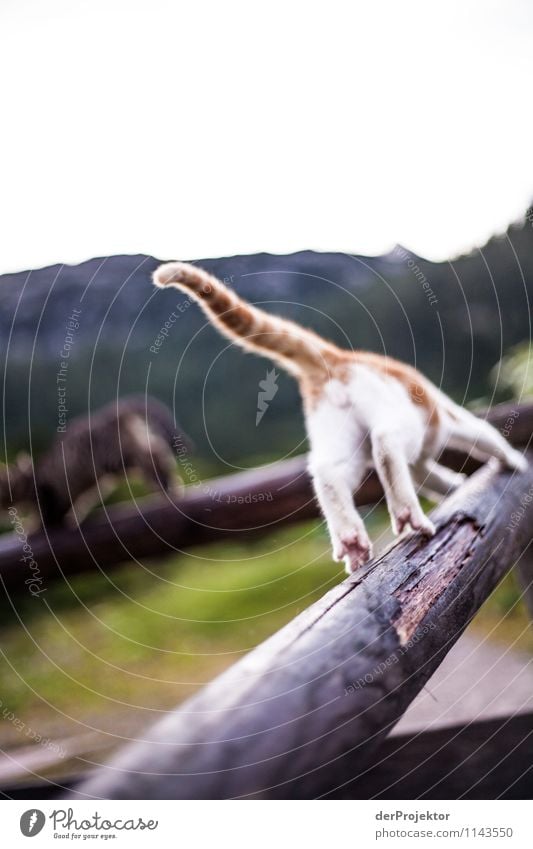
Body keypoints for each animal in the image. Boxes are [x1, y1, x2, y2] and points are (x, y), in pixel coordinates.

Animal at [0, 396, 187, 528]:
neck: (25, 481)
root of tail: (114, 411)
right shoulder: (67, 496)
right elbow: (66, 510)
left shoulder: (47, 494)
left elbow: (45, 514)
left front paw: (35, 525)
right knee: (156, 450)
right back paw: (169, 481)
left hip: (116, 456)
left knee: (150, 454)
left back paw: (164, 483)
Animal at [152, 262, 524, 572]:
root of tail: (335, 358)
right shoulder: (448, 418)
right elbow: (486, 435)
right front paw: (514, 462)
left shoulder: (420, 462)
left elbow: (428, 476)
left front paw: (453, 485)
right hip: (399, 417)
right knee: (386, 444)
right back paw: (405, 512)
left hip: (342, 440)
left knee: (328, 474)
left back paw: (351, 538)